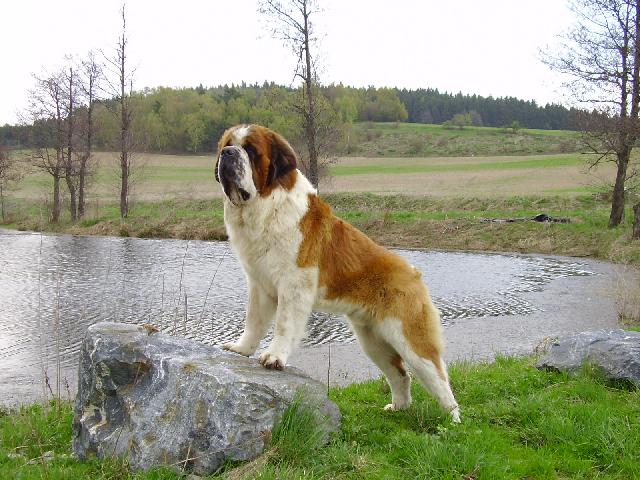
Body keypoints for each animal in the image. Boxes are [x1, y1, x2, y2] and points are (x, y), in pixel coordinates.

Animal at [215, 124, 460, 422]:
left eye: (251, 150)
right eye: (227, 144)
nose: (228, 153)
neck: (266, 205)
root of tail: (413, 272)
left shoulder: (293, 285)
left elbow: (283, 324)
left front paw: (274, 357)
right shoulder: (259, 284)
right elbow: (253, 321)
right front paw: (241, 348)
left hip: (411, 340)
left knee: (439, 378)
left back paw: (453, 421)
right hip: (373, 342)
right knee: (401, 375)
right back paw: (398, 407)